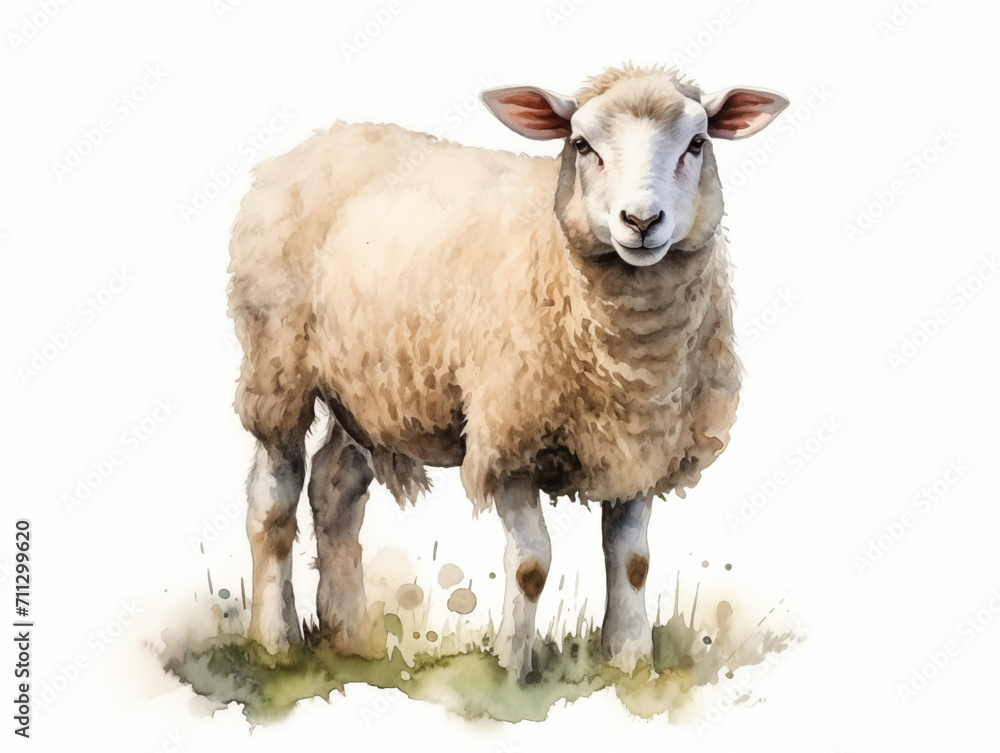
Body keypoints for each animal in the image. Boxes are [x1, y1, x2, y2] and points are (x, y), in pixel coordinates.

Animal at [228, 64, 788, 679]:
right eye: (582, 145)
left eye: (697, 143)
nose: (641, 222)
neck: (632, 363)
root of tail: (328, 135)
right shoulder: (509, 439)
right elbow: (531, 566)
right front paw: (511, 671)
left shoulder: (643, 445)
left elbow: (633, 560)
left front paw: (630, 664)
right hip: (277, 367)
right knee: (273, 501)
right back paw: (275, 641)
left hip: (365, 390)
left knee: (335, 492)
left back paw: (350, 640)